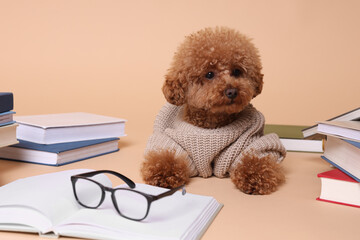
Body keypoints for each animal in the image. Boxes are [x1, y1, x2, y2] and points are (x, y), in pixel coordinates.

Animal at [141, 26, 286, 195]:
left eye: (237, 71)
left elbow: (258, 157)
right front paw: (164, 174)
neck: (212, 124)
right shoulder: (169, 141)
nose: (232, 91)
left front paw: (255, 176)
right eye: (209, 74)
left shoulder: (251, 141)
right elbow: (165, 157)